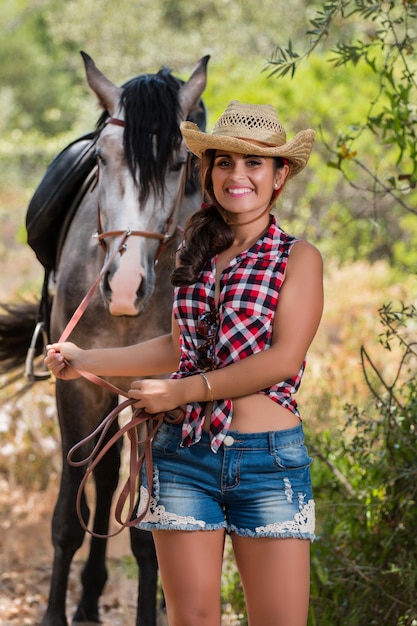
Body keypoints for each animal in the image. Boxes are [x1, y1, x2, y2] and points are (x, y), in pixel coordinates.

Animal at [0, 50, 208, 624]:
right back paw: (89, 600)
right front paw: (54, 614)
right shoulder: (75, 386)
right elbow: (69, 518)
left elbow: (146, 534)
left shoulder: (155, 392)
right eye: (102, 159)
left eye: (179, 164)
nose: (125, 285)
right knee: (105, 474)